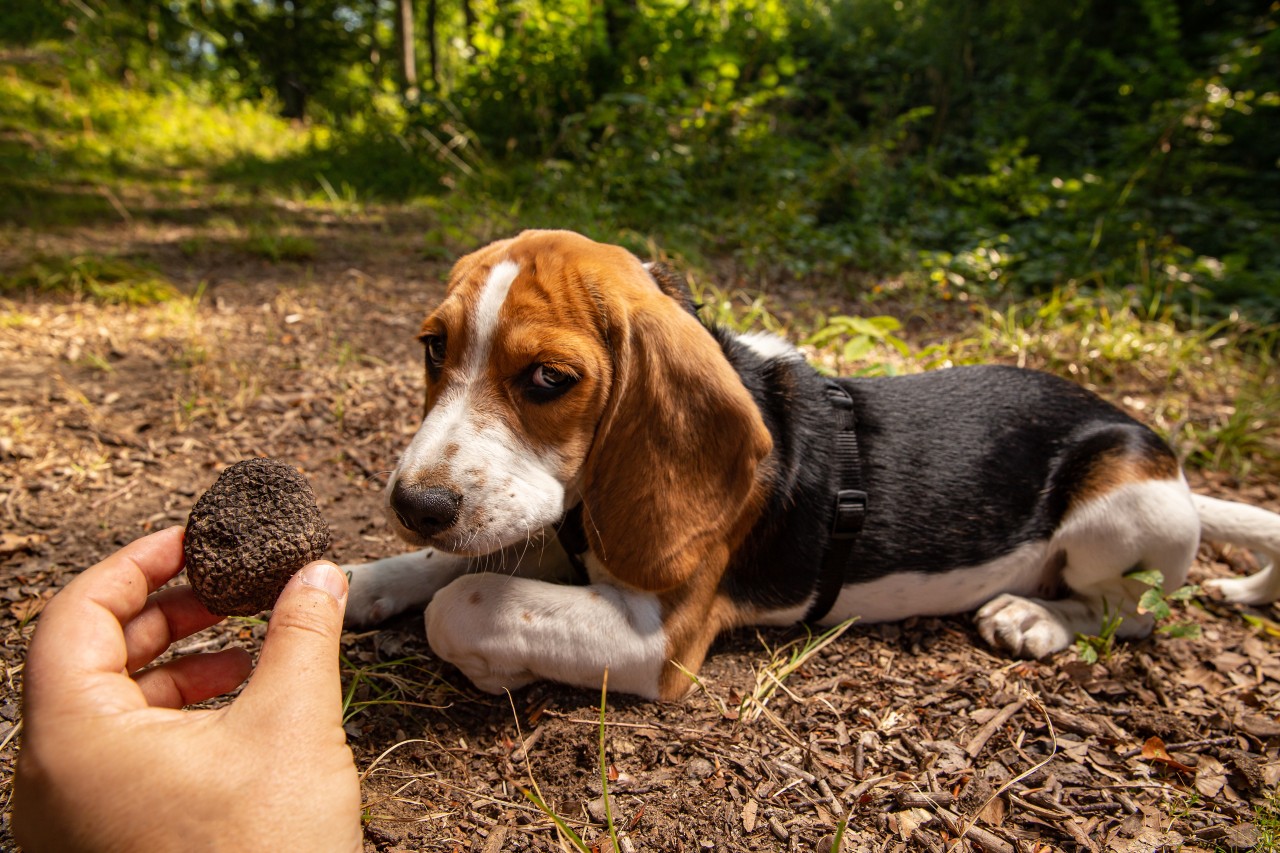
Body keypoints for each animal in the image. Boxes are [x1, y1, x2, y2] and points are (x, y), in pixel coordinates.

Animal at [345, 227, 1280, 696]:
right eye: (433, 349)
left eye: (548, 378)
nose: (414, 503)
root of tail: (1158, 450)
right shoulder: (559, 521)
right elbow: (449, 565)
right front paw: (361, 579)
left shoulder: (660, 636)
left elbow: (468, 596)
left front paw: (484, 660)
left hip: (1120, 510)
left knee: (1132, 611)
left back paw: (1034, 617)